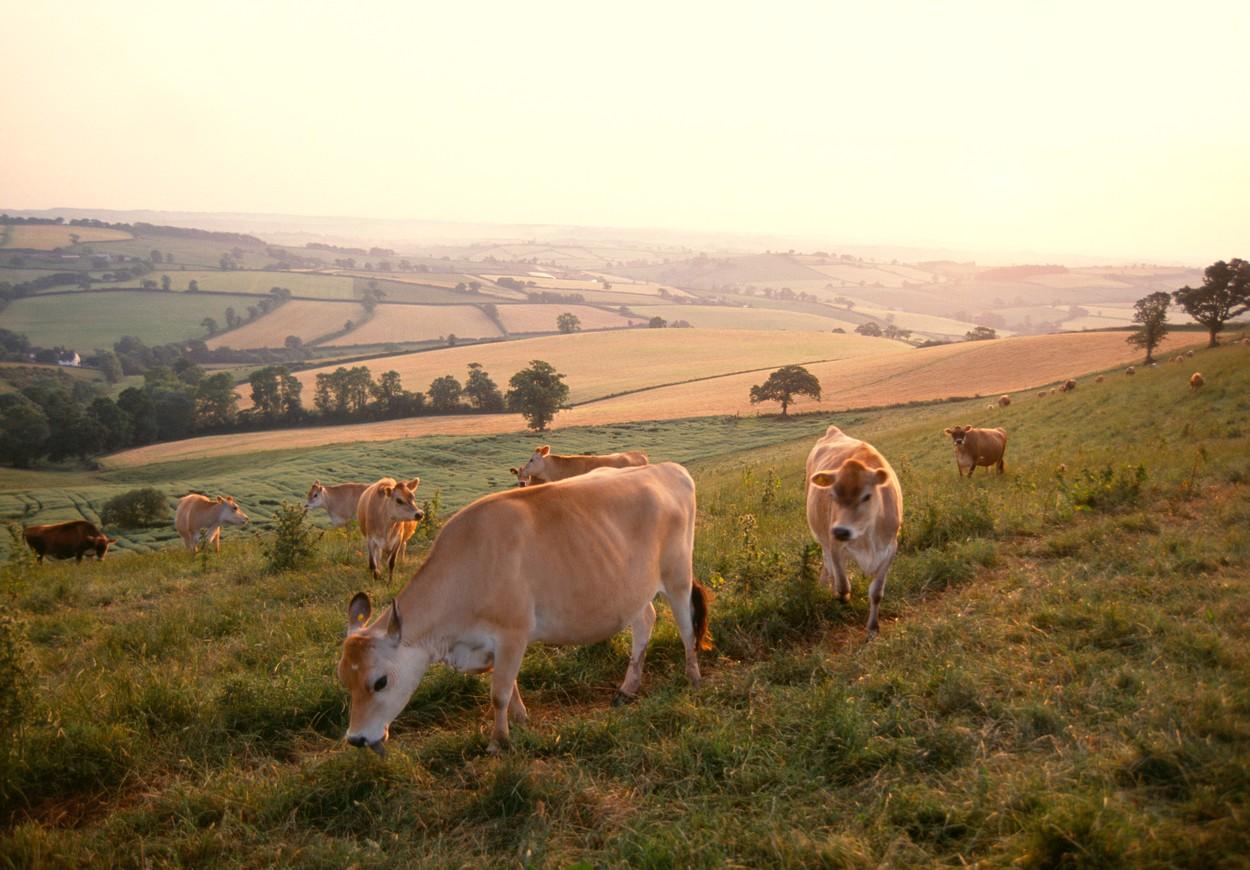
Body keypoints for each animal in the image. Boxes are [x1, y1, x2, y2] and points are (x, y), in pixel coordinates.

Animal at [337, 462, 710, 755]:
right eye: (344, 680)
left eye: (380, 682)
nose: (356, 738)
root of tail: (666, 468)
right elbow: (510, 686)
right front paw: (520, 720)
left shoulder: (513, 632)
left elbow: (499, 693)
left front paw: (497, 742)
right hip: (631, 589)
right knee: (645, 621)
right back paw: (627, 687)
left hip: (678, 574)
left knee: (685, 626)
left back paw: (693, 677)